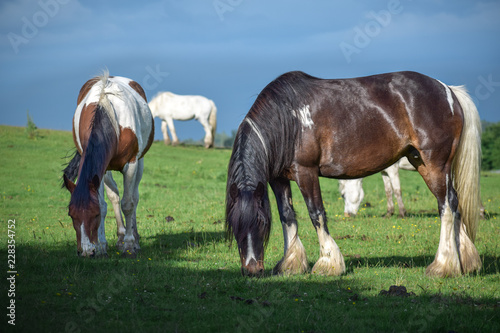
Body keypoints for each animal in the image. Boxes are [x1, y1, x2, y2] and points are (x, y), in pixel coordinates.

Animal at [62, 71, 153, 255]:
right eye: (71, 215)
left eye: (94, 215)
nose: (86, 251)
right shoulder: (100, 171)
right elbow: (104, 204)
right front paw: (101, 246)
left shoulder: (131, 164)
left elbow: (128, 203)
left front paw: (129, 245)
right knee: (114, 197)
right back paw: (120, 237)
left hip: (139, 163)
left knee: (134, 197)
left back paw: (134, 239)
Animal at [226, 70, 480, 278]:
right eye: (235, 224)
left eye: (260, 223)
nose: (252, 270)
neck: (289, 119)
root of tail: (448, 90)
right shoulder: (278, 179)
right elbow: (287, 216)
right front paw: (290, 264)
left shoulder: (305, 172)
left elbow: (316, 213)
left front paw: (328, 264)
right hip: (422, 163)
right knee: (454, 203)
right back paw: (465, 261)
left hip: (435, 164)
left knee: (445, 206)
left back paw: (443, 266)